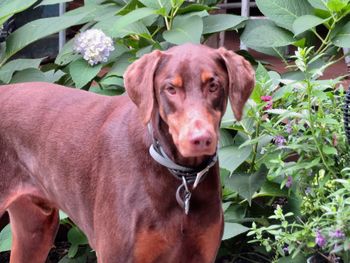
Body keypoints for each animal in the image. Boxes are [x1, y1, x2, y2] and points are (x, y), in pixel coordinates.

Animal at [0, 44, 253, 262]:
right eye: (170, 89)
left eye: (213, 85)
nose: (200, 139)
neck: (179, 173)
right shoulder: (118, 255)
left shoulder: (201, 254)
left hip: (35, 230)